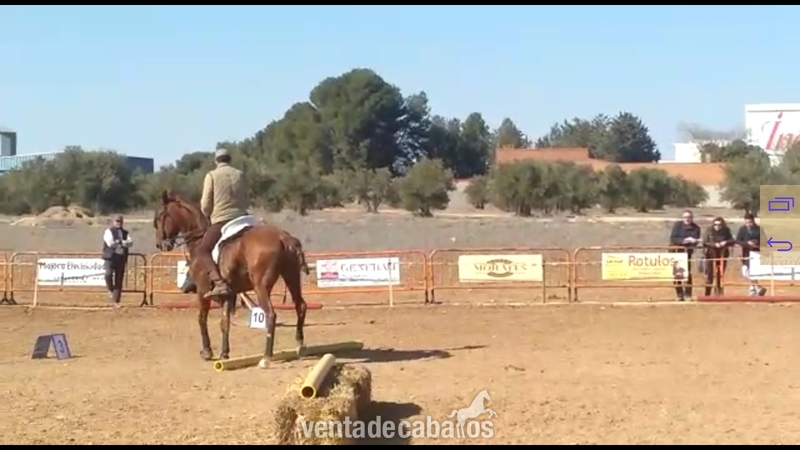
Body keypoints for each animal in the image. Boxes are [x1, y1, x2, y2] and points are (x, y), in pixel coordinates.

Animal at [153, 191, 308, 368]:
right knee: (300, 306)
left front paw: (207, 351)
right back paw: (300, 346)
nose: (160, 245)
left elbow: (202, 319)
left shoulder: (203, 291)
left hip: (261, 287)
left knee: (271, 315)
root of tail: (282, 237)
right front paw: (224, 353)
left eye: (160, 217)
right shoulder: (229, 294)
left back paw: (266, 358)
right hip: (292, 277)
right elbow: (224, 323)